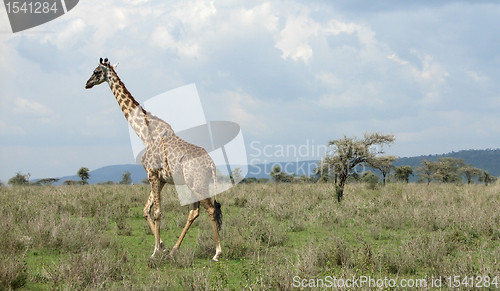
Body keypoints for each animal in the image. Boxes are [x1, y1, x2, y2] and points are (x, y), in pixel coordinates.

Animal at [85, 57, 222, 262]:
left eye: (96, 71)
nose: (87, 83)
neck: (144, 132)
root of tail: (211, 164)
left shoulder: (152, 173)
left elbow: (157, 212)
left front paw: (155, 251)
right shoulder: (161, 178)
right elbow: (146, 210)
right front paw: (163, 248)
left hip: (197, 184)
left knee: (210, 210)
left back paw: (217, 253)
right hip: (194, 184)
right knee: (194, 211)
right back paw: (174, 250)